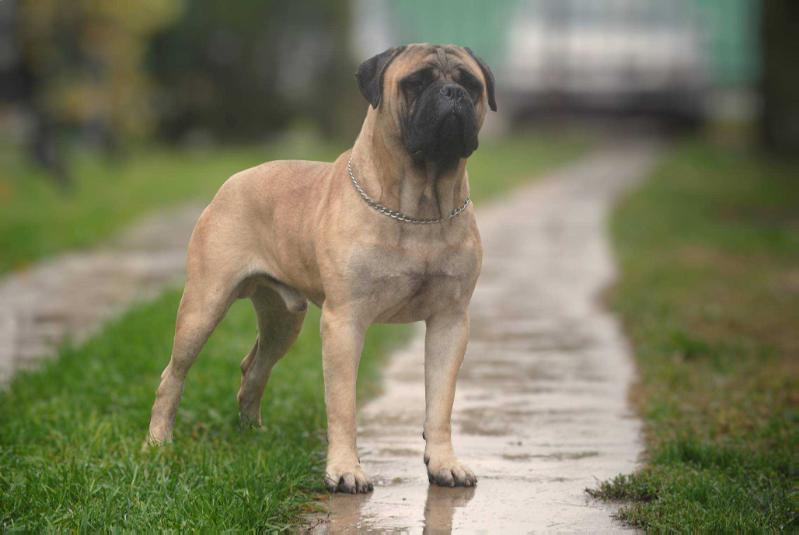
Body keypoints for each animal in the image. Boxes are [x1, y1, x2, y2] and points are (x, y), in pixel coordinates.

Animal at [144, 42, 494, 494]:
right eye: (415, 82)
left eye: (471, 84)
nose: (454, 94)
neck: (420, 206)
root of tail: (232, 181)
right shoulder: (345, 322)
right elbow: (342, 404)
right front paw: (344, 469)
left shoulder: (449, 322)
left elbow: (440, 402)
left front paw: (444, 463)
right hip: (204, 305)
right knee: (173, 375)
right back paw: (157, 443)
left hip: (282, 321)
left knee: (254, 367)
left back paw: (251, 433)